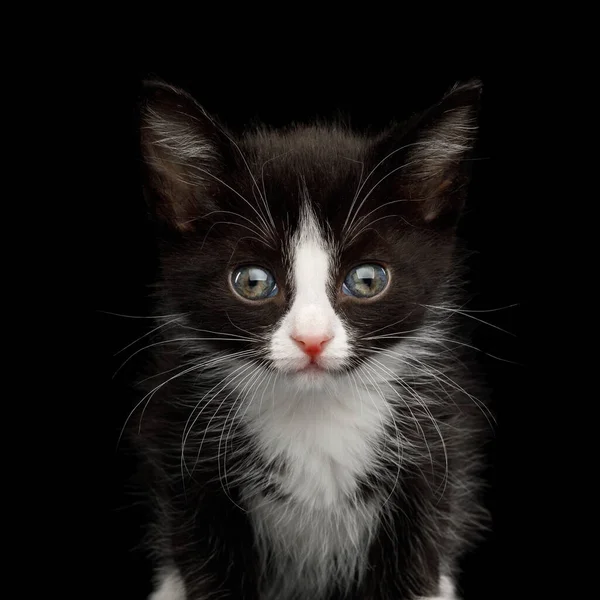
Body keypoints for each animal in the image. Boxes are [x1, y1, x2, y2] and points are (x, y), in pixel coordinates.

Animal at [131, 79, 488, 600]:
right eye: (254, 282)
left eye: (366, 280)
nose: (312, 340)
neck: (315, 412)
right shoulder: (187, 461)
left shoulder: (434, 457)